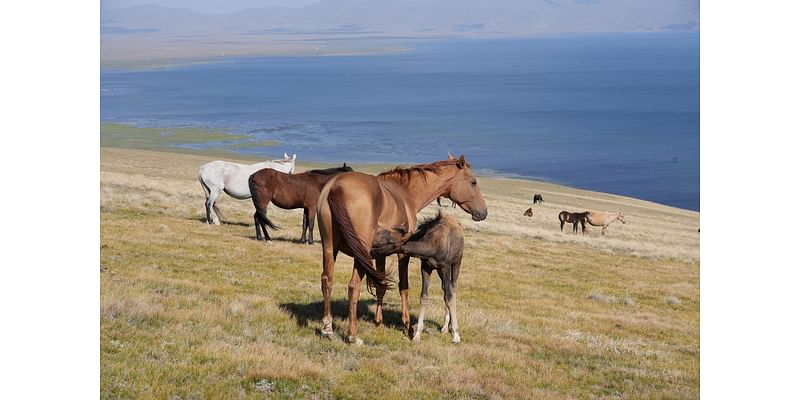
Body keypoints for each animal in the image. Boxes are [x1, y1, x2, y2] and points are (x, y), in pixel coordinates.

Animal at [404, 212, 466, 344]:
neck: (433, 244)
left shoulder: (445, 266)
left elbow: (449, 297)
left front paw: (456, 335)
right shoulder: (426, 267)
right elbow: (424, 296)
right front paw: (417, 335)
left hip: (456, 263)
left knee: (453, 288)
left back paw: (450, 327)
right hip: (439, 271)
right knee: (445, 288)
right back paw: (445, 327)